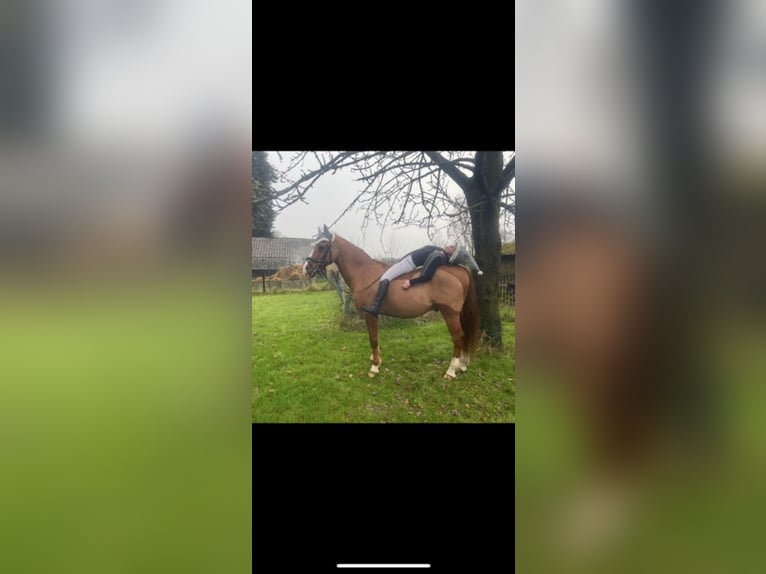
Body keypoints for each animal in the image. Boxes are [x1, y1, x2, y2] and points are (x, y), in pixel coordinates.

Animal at [303, 225, 480, 379]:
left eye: (322, 246)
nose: (306, 268)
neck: (365, 274)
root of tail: (460, 270)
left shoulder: (370, 314)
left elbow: (373, 339)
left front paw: (374, 367)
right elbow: (375, 338)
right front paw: (376, 359)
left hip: (450, 313)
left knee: (458, 337)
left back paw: (451, 371)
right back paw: (462, 365)